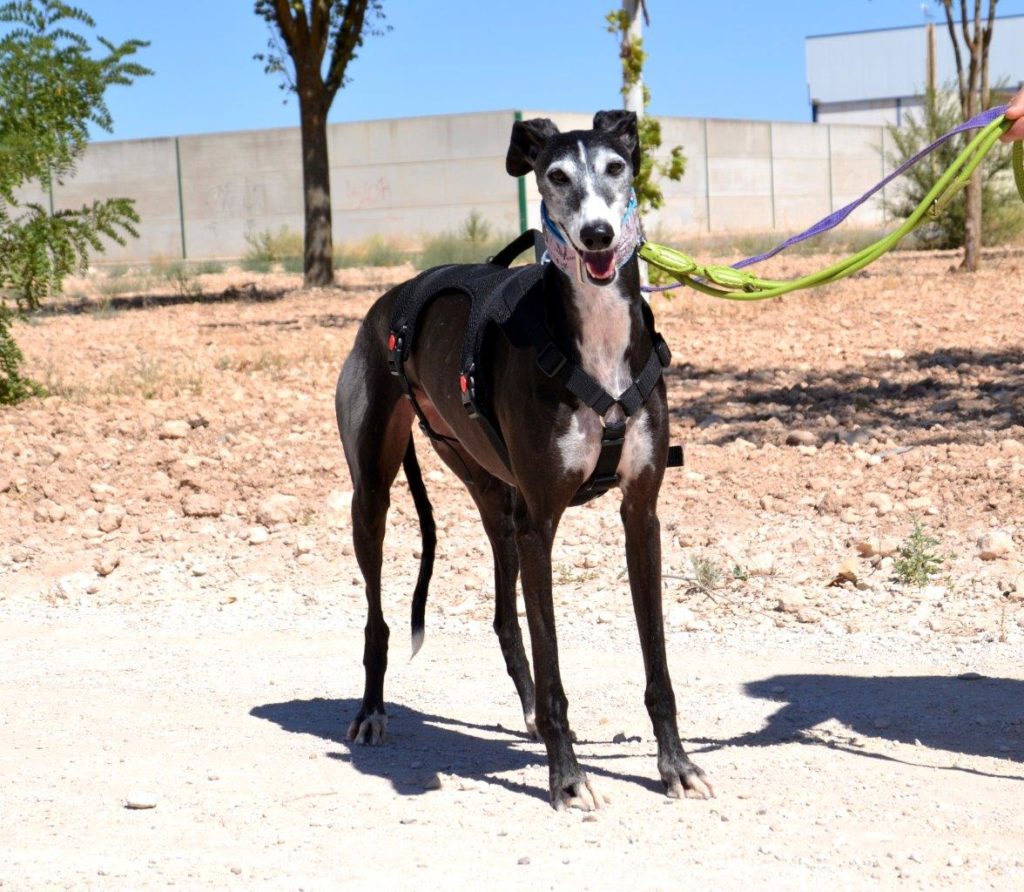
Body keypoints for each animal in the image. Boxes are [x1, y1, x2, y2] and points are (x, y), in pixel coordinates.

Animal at [335, 110, 712, 811]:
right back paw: (372, 710)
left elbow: (657, 664)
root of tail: (386, 302)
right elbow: (557, 664)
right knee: (378, 618)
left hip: (492, 494)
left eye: (617, 167)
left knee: (505, 620)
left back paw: (530, 713)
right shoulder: (543, 523)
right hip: (373, 493)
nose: (597, 235)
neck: (597, 344)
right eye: (555, 175)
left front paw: (676, 765)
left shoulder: (640, 514)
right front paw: (567, 779)